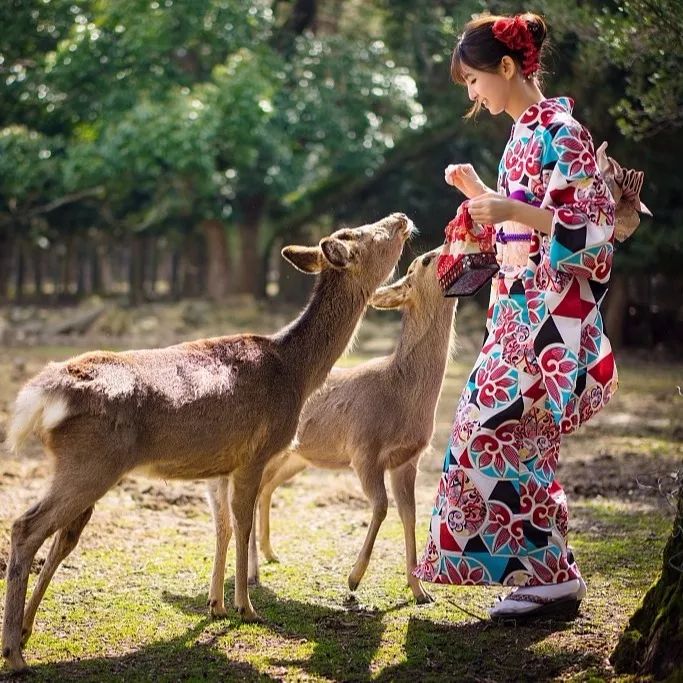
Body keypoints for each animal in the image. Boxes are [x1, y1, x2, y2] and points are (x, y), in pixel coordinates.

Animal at [2, 211, 414, 672]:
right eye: (366, 236)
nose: (400, 218)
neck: (296, 372)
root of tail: (40, 395)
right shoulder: (256, 452)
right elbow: (243, 523)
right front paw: (246, 608)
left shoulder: (221, 464)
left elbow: (221, 527)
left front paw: (215, 605)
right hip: (89, 463)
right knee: (25, 527)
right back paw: (14, 653)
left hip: (80, 466)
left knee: (61, 537)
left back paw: (25, 631)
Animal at [206, 247, 456, 608]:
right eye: (424, 260)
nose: (448, 248)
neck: (401, 396)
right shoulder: (364, 448)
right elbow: (382, 506)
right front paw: (353, 579)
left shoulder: (408, 459)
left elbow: (409, 515)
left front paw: (421, 591)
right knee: (253, 495)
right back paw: (253, 573)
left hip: (294, 458)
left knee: (266, 489)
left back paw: (269, 555)